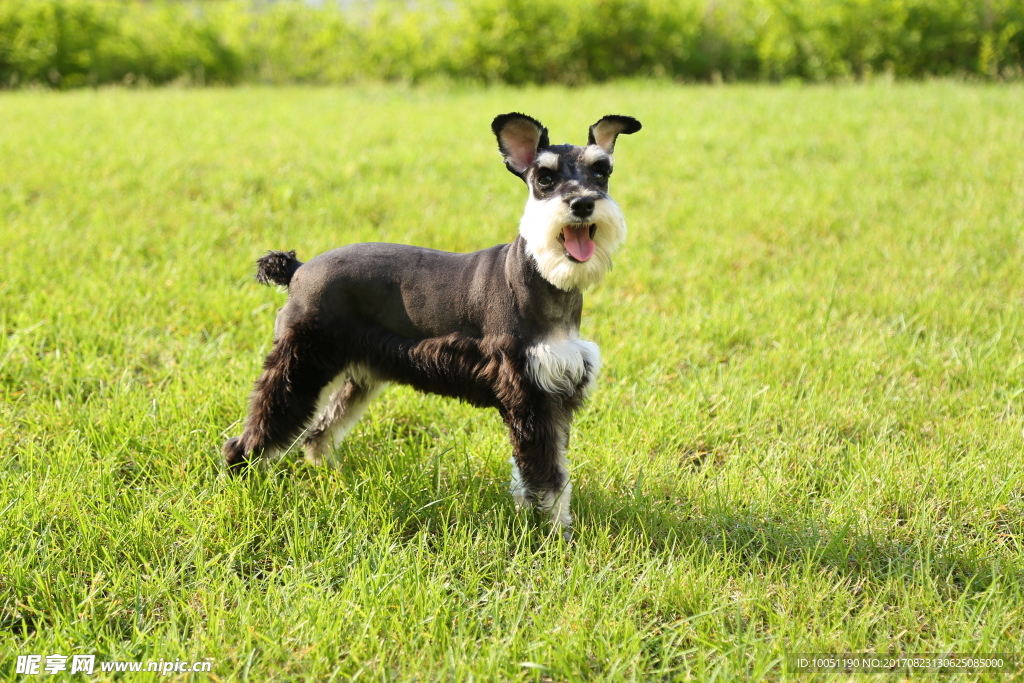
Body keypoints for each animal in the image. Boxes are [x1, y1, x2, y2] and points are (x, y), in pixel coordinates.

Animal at [222, 113, 638, 540]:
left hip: (358, 373)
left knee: (318, 432)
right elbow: (545, 476)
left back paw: (333, 476)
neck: (541, 275)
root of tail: (298, 270)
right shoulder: (529, 395)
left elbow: (546, 470)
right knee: (258, 433)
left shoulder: (554, 397)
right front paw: (553, 535)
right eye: (545, 178)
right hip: (298, 368)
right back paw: (244, 480)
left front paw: (550, 525)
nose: (582, 203)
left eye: (601, 171)